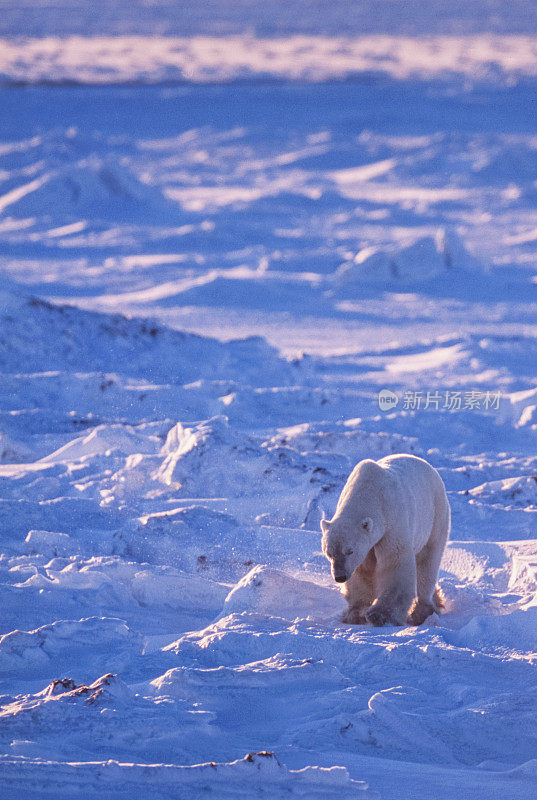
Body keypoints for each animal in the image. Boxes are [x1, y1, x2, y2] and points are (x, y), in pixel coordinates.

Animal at [320, 454, 450, 628]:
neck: (369, 492)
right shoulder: (368, 543)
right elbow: (363, 570)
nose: (340, 576)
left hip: (435, 516)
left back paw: (422, 612)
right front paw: (356, 614)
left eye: (349, 551)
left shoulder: (392, 522)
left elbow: (394, 562)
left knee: (427, 562)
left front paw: (380, 615)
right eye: (329, 553)